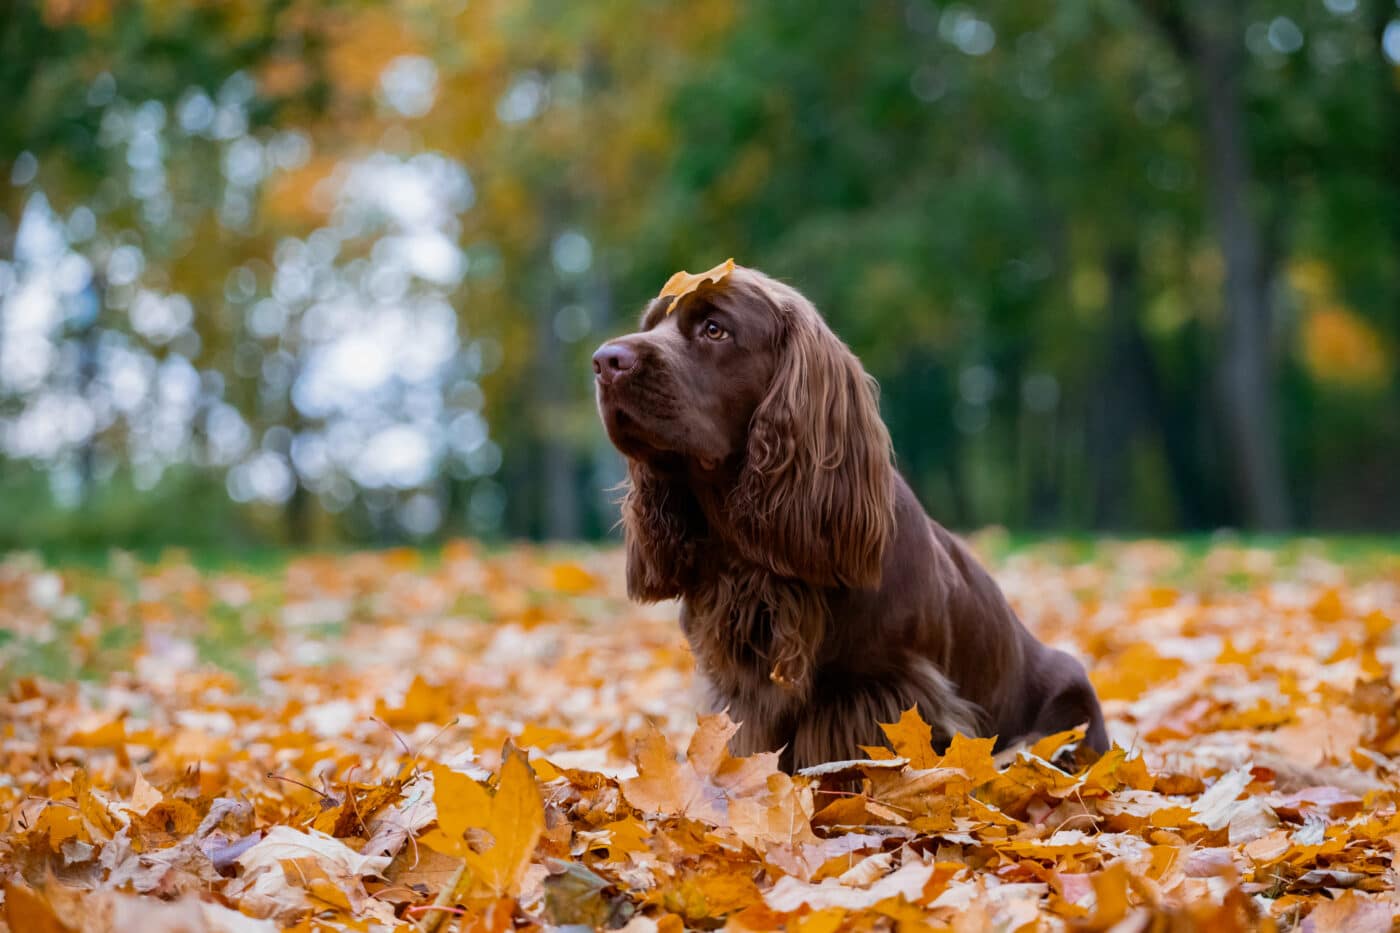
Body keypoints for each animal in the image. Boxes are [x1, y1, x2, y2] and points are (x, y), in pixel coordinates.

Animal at [596, 263, 1108, 767]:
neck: (751, 549)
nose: (604, 361)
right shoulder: (741, 694)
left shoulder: (879, 686)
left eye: (714, 329)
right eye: (651, 325)